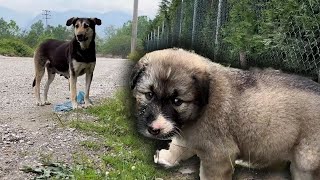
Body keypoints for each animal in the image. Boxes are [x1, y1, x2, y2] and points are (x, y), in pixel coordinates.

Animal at [129, 48, 320, 179]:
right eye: (149, 95)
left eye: (177, 101)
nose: (154, 129)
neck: (202, 105)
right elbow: (179, 145)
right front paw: (167, 157)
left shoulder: (218, 156)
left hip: (305, 160)